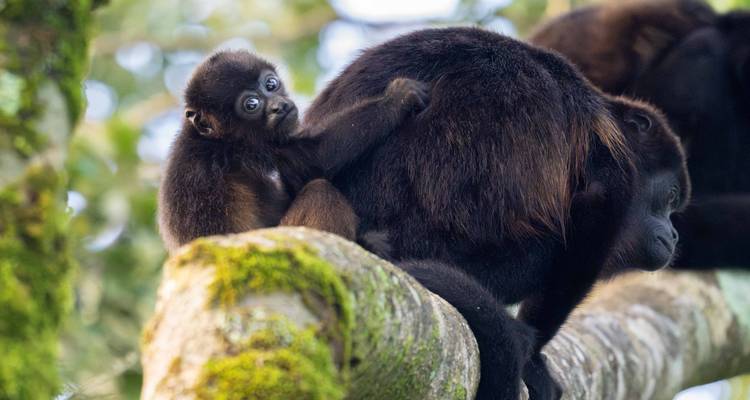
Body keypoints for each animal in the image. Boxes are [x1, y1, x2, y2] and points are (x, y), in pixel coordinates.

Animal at [157, 50, 429, 253]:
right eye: (251, 104)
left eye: (271, 84)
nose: (278, 107)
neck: (214, 139)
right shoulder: (250, 151)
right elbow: (315, 159)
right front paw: (396, 99)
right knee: (320, 192)